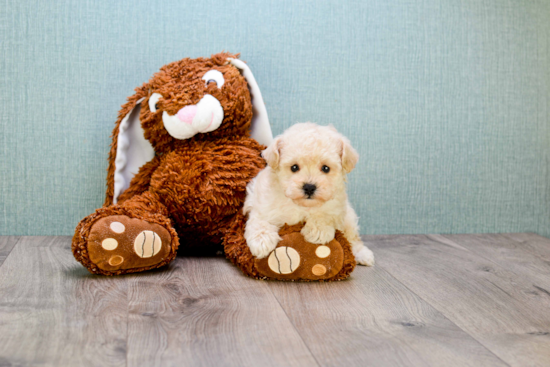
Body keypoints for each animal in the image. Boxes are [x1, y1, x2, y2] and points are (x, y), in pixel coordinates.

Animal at [245, 123, 376, 268]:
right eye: (294, 167)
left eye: (325, 168)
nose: (309, 187)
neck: (301, 205)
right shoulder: (263, 206)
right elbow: (260, 222)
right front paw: (262, 241)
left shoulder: (336, 206)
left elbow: (324, 214)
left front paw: (318, 230)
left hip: (349, 219)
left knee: (353, 239)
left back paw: (363, 255)